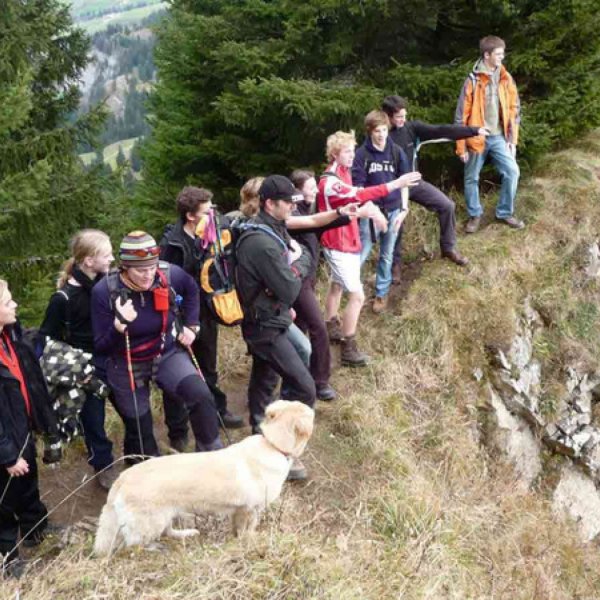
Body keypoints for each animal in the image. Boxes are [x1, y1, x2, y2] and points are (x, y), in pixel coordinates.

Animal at [94, 400, 314, 556]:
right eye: (310, 414)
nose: (314, 407)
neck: (272, 444)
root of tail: (122, 478)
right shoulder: (251, 510)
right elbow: (248, 531)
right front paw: (250, 543)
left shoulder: (239, 511)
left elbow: (237, 530)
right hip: (151, 522)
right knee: (134, 544)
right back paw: (154, 548)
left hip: (167, 514)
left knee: (167, 532)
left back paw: (186, 534)